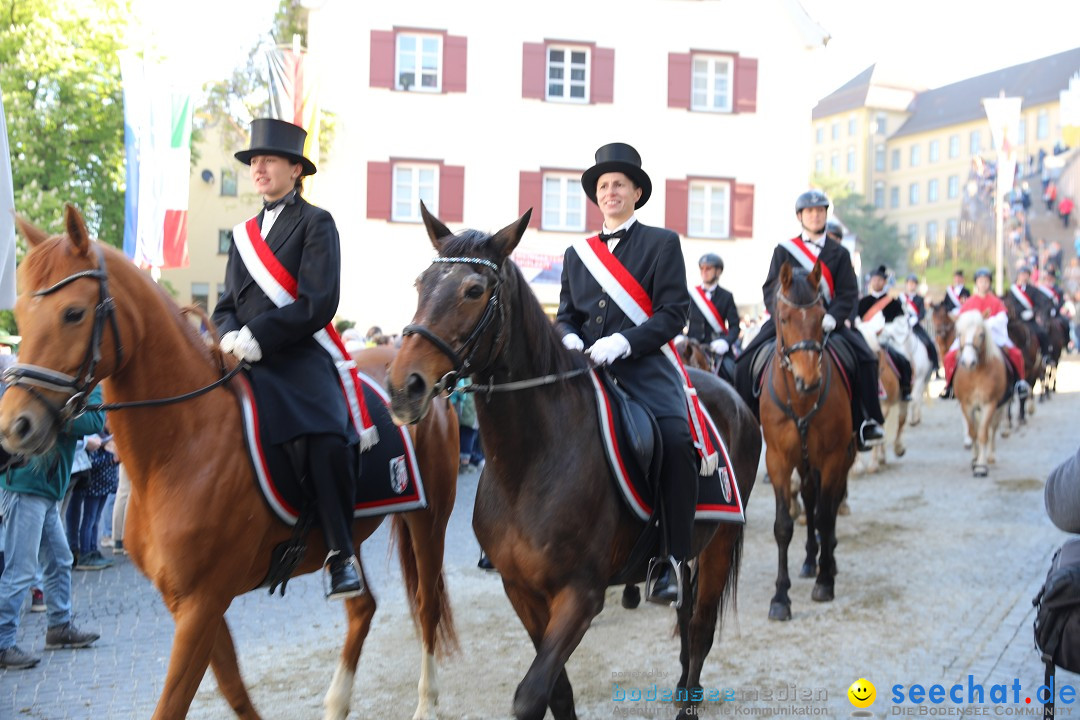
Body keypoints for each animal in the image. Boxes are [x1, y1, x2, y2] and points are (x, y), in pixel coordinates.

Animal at [0, 207, 457, 720]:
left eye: (73, 313)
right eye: (21, 314)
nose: (15, 426)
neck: (180, 446)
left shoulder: (202, 602)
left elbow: (175, 702)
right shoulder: (189, 602)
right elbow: (234, 688)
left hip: (428, 520)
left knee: (426, 605)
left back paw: (426, 702)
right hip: (347, 533)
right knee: (364, 607)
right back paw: (337, 700)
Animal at [386, 204, 760, 720]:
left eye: (474, 290)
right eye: (420, 283)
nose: (404, 387)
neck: (530, 463)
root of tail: (735, 398)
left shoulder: (581, 595)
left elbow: (530, 696)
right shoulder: (521, 591)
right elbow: (556, 693)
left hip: (720, 541)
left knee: (701, 625)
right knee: (686, 617)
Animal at [756, 262, 855, 621]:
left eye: (821, 315)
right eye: (784, 318)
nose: (808, 380)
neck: (800, 402)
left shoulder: (833, 458)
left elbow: (826, 516)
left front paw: (825, 582)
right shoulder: (778, 462)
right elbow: (784, 526)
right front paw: (780, 598)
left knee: (829, 504)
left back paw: (827, 561)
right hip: (804, 462)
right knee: (811, 500)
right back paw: (812, 560)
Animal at [954, 310, 1010, 474]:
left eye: (981, 334)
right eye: (959, 334)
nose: (968, 362)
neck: (976, 374)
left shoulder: (989, 404)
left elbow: (983, 434)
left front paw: (981, 465)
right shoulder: (966, 405)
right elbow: (973, 432)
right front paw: (975, 459)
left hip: (999, 407)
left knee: (992, 428)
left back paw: (990, 455)